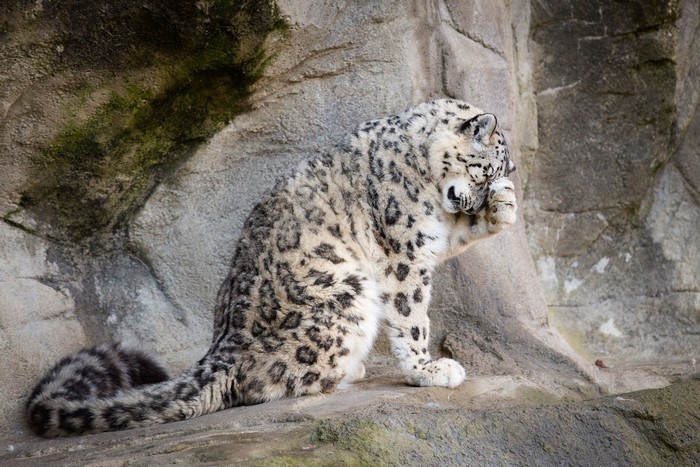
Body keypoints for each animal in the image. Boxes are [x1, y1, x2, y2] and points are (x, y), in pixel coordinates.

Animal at [26, 99, 517, 437]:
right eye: (485, 170)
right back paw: (345, 373)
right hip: (348, 292)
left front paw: (505, 206)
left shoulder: (432, 232)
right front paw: (428, 370)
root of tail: (223, 346)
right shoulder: (407, 249)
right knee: (264, 384)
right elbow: (413, 317)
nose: (476, 200)